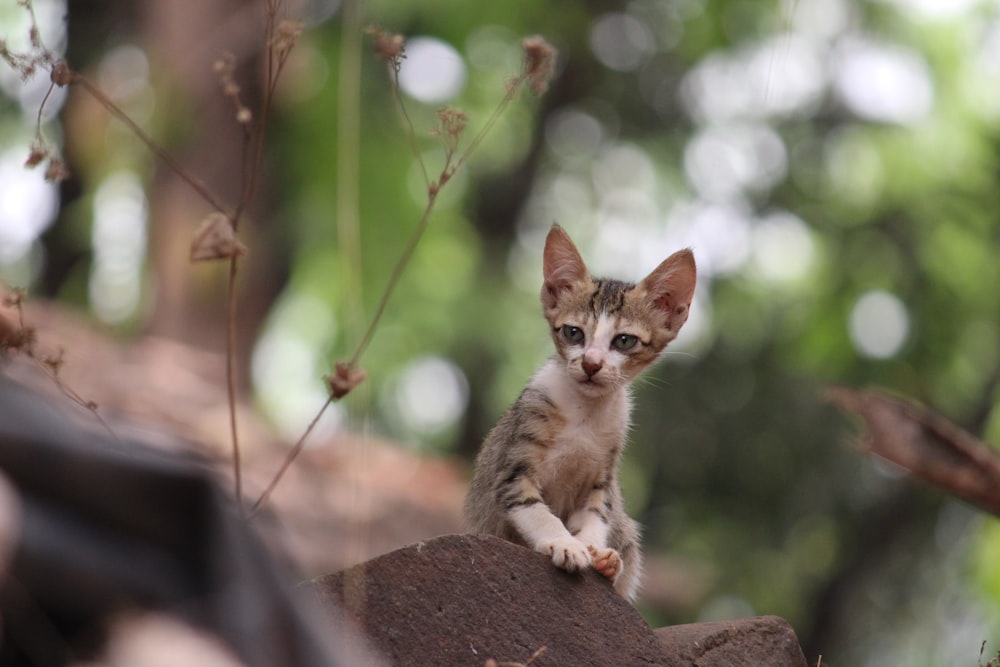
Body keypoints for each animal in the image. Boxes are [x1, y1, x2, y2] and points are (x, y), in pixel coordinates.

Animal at [466, 224, 696, 600]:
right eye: (573, 333)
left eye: (624, 341)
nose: (591, 364)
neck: (585, 415)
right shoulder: (513, 472)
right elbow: (538, 512)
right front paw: (564, 544)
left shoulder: (601, 480)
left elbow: (596, 515)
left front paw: (594, 550)